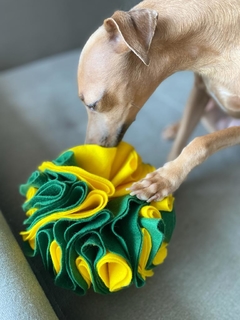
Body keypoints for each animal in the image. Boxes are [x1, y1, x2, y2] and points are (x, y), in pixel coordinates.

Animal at [77, 0, 240, 202]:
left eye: (93, 105)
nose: (89, 149)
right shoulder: (199, 91)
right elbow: (181, 141)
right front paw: (166, 181)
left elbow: (200, 142)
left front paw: (164, 179)